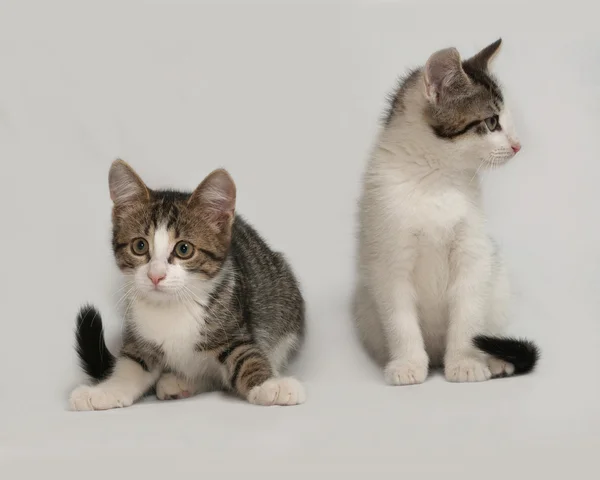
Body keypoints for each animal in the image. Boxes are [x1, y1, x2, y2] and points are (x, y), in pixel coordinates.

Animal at [69, 161, 304, 408]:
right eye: (140, 246)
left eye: (184, 249)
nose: (156, 275)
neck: (172, 306)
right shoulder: (139, 337)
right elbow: (131, 366)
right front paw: (104, 391)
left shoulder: (234, 328)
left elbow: (245, 358)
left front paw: (269, 385)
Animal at [354, 39, 540, 384]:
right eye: (492, 122)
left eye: (507, 120)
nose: (518, 145)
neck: (435, 177)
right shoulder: (389, 257)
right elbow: (400, 318)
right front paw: (408, 364)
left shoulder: (473, 253)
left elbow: (468, 313)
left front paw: (466, 363)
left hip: (498, 283)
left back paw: (496, 361)